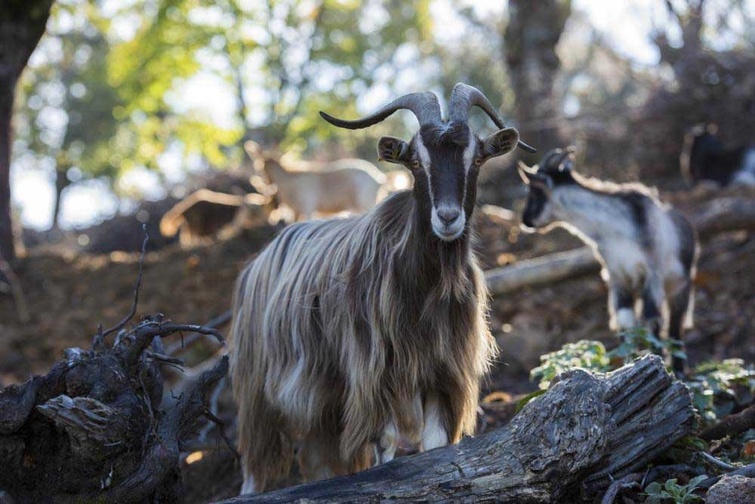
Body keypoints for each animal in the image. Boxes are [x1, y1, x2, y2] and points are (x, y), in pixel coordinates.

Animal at [245, 141, 390, 221]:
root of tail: (380, 180)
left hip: (366, 202)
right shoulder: (294, 212)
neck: (288, 181)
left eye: (258, 166)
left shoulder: (307, 207)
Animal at [516, 148, 700, 372]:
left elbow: (652, 321)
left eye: (536, 191)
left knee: (675, 325)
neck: (615, 229)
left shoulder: (651, 273)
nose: (526, 220)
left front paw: (658, 362)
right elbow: (625, 322)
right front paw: (630, 362)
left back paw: (680, 369)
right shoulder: (617, 276)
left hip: (680, 285)